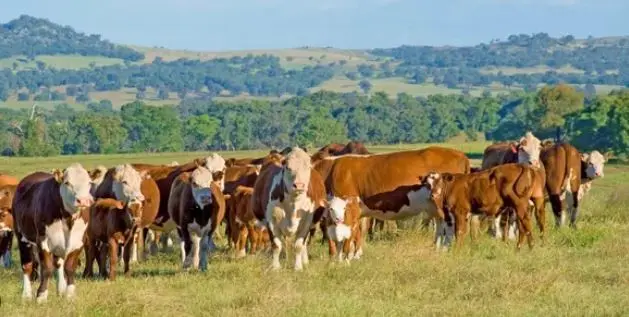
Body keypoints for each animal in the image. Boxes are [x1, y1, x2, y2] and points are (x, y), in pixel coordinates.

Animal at [12, 163, 94, 302]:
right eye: (67, 183)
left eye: (89, 183)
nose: (83, 200)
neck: (68, 218)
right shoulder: (43, 240)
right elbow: (47, 268)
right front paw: (41, 295)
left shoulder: (79, 241)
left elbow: (69, 267)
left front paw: (70, 294)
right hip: (22, 237)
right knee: (27, 266)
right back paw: (26, 294)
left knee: (58, 263)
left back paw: (61, 289)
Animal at [312, 146, 468, 256]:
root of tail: (461, 155)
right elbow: (359, 232)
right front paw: (356, 255)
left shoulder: (348, 207)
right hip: (435, 208)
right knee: (440, 227)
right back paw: (437, 249)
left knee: (451, 229)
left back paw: (446, 251)